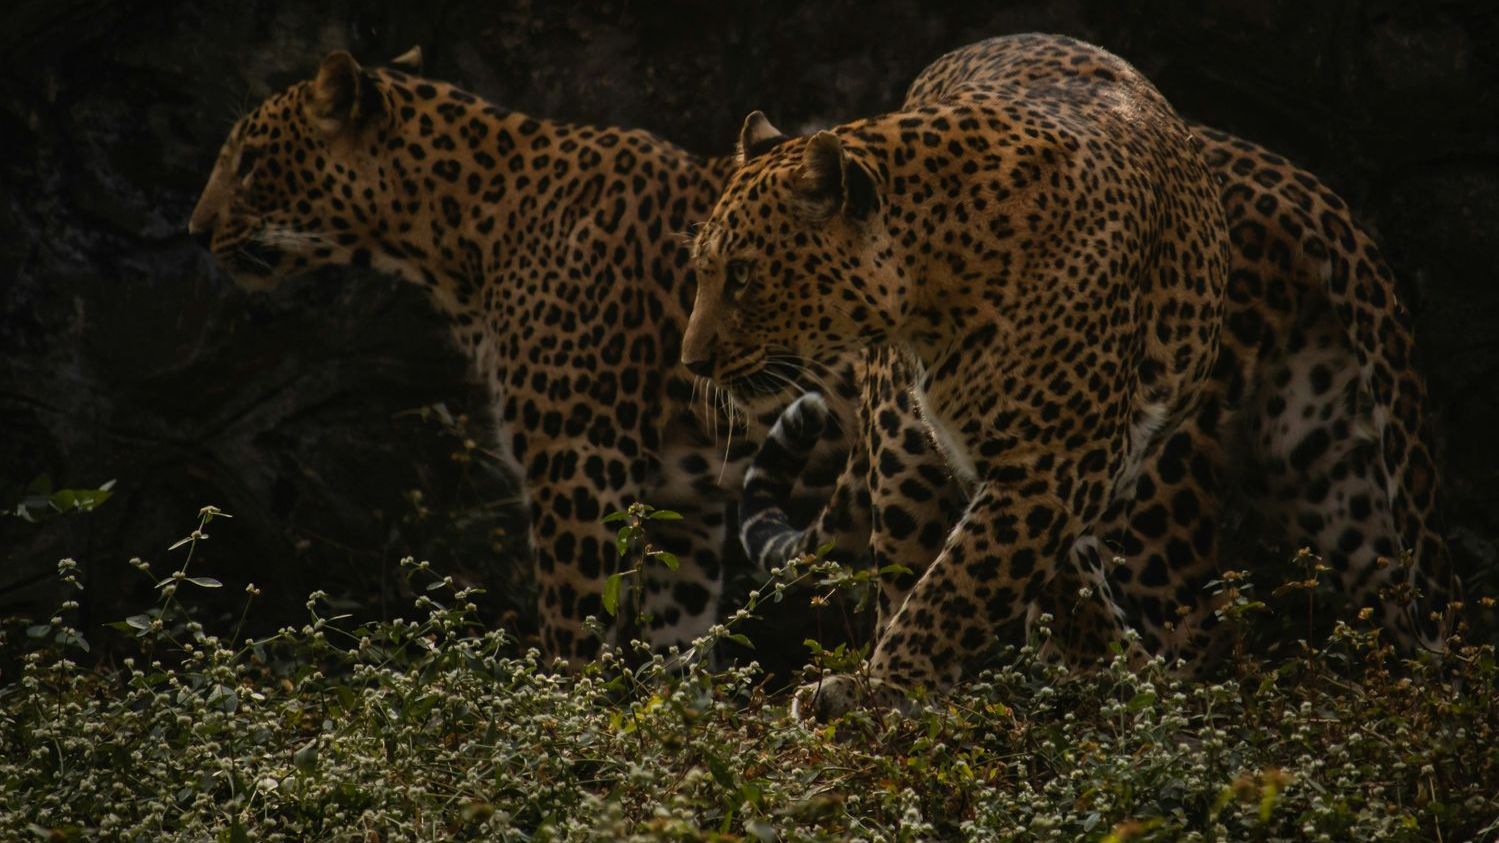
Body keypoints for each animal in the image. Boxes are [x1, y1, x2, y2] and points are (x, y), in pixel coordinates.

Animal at [188, 48, 857, 665]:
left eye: (249, 163)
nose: (196, 231)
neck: (460, 234)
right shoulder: (681, 504)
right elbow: (680, 643)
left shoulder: (581, 467)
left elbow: (574, 633)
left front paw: (568, 709)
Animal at [729, 35, 1455, 717]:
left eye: (741, 275)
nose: (705, 359)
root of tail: (1311, 201)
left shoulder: (1040, 461)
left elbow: (963, 583)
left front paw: (882, 693)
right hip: (1334, 467)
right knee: (1398, 604)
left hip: (1149, 489)